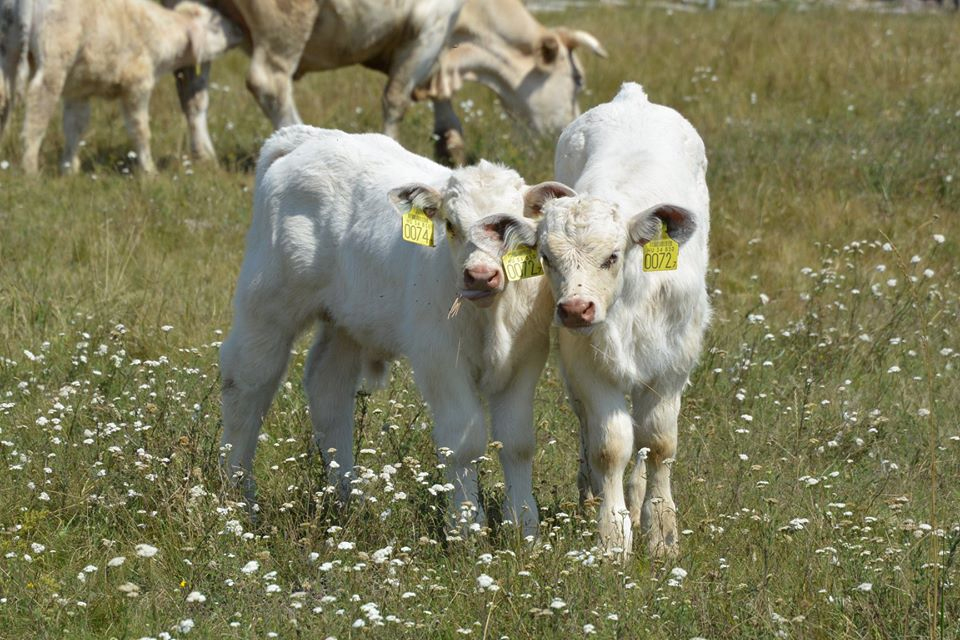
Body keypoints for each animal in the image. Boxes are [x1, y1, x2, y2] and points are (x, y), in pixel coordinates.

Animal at [19, 0, 240, 174]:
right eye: (214, 25)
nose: (238, 29)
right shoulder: (136, 86)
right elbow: (140, 130)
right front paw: (149, 171)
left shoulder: (79, 90)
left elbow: (75, 127)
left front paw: (69, 170)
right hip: (54, 55)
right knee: (38, 107)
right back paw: (30, 171)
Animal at [161, 0, 604, 162]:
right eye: (578, 79)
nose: (563, 134)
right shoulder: (431, 24)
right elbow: (397, 97)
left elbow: (435, 91)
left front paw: (450, 142)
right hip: (286, 21)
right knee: (270, 82)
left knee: (191, 87)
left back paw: (203, 154)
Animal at [221, 125, 568, 536]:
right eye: (450, 225)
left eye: (510, 228)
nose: (480, 275)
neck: (490, 317)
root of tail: (307, 138)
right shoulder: (438, 359)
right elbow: (463, 442)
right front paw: (467, 525)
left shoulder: (525, 358)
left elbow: (517, 441)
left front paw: (523, 526)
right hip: (266, 307)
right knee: (247, 383)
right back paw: (237, 497)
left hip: (346, 322)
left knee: (328, 388)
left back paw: (346, 497)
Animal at [484, 84, 708, 556]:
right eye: (546, 258)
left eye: (612, 256)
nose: (575, 309)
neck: (630, 303)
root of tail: (632, 98)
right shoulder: (588, 364)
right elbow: (611, 446)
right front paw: (612, 535)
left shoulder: (672, 366)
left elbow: (658, 443)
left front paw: (660, 533)